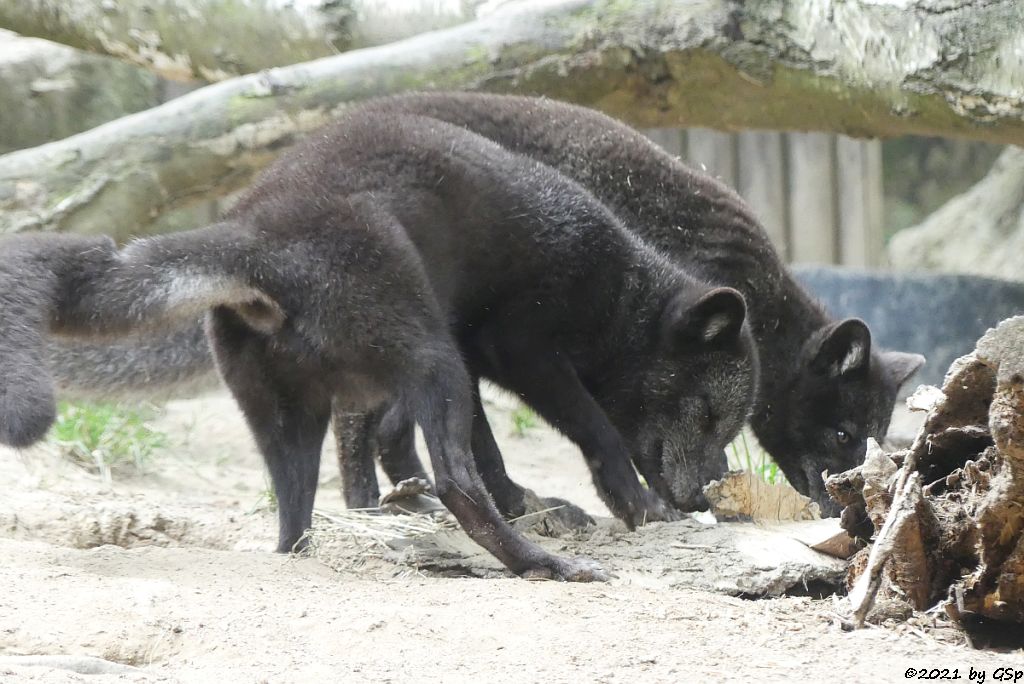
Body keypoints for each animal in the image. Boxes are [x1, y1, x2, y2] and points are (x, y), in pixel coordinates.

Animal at [0, 109, 753, 581]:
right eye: (711, 415)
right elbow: (591, 433)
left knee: (295, 523)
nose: (708, 495)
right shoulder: (516, 351)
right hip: (430, 361)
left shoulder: (470, 363)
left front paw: (529, 501)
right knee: (454, 484)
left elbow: (477, 450)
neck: (616, 296)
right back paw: (542, 565)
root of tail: (259, 239)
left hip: (295, 420)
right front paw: (635, 507)